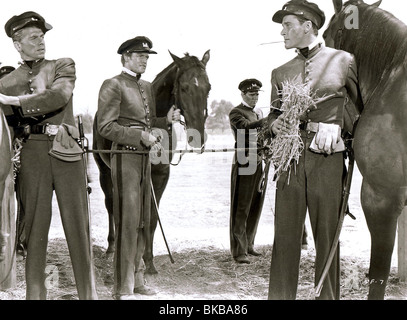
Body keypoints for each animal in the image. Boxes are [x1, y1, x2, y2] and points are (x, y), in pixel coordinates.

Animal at [93, 49, 212, 272]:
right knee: (111, 205)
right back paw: (112, 249)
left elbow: (152, 217)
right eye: (184, 87)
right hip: (105, 172)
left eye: (208, 87)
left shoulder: (160, 175)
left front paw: (148, 261)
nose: (198, 137)